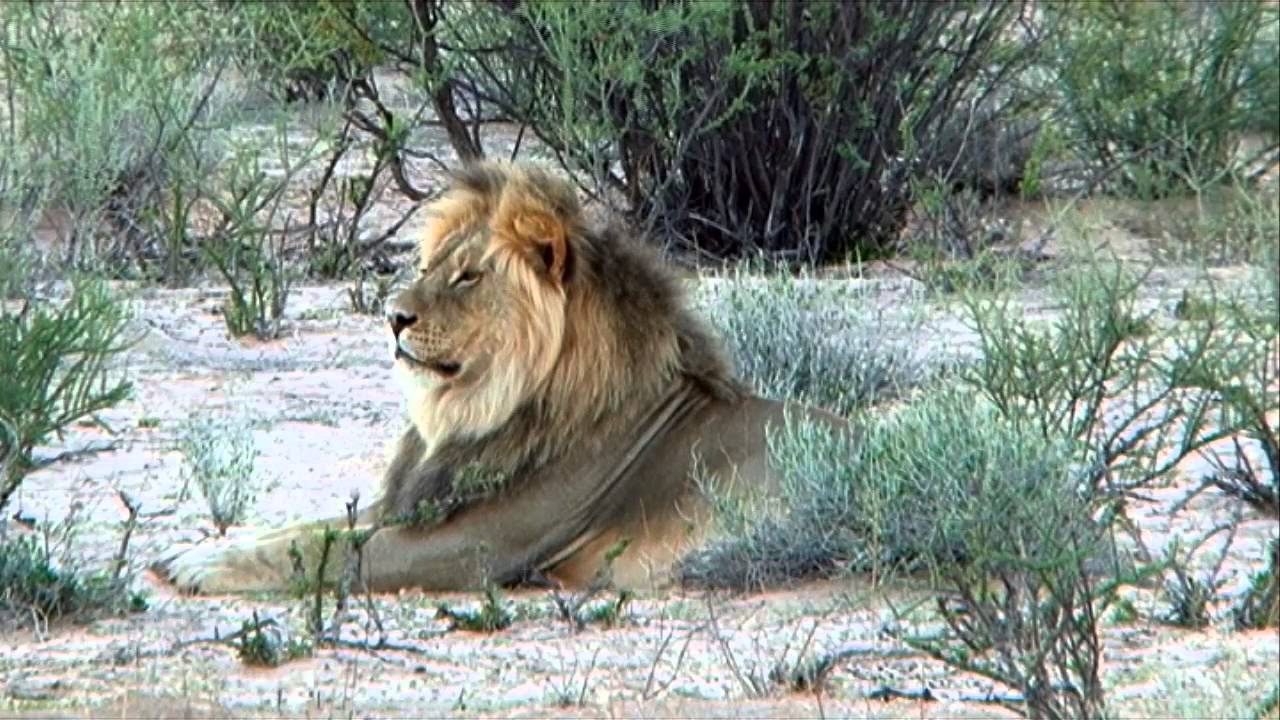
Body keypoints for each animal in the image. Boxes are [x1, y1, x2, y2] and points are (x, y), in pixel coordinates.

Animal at [161, 161, 845, 594]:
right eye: (428, 267)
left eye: (468, 276)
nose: (392, 316)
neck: (476, 410)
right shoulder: (416, 503)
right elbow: (307, 527)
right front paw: (195, 550)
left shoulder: (476, 544)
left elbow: (333, 551)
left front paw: (204, 569)